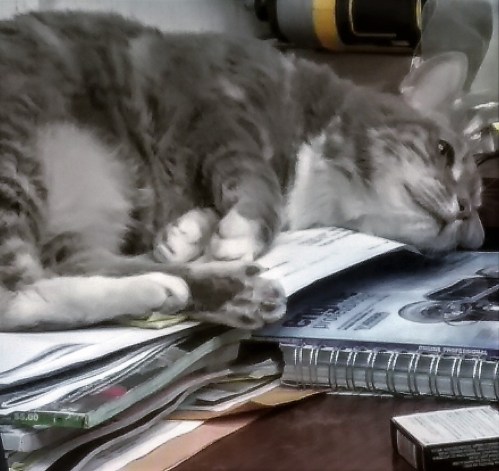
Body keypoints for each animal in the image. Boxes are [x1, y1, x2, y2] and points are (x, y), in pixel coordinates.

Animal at [0, 11, 484, 332]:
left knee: (72, 267)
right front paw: (240, 231)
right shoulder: (218, 109)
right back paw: (178, 287)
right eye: (444, 151)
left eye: (470, 222)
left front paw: (188, 233)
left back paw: (209, 289)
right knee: (16, 297)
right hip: (17, 157)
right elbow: (253, 174)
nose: (464, 213)